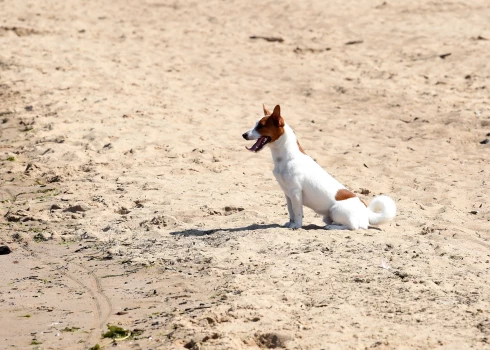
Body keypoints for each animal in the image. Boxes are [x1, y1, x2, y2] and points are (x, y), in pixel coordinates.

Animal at [243, 104, 396, 230]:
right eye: (255, 124)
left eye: (261, 126)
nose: (243, 134)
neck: (286, 158)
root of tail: (367, 213)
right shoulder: (287, 194)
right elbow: (291, 211)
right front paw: (290, 223)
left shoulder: (296, 193)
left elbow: (298, 212)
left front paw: (296, 226)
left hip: (336, 210)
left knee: (355, 227)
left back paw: (333, 227)